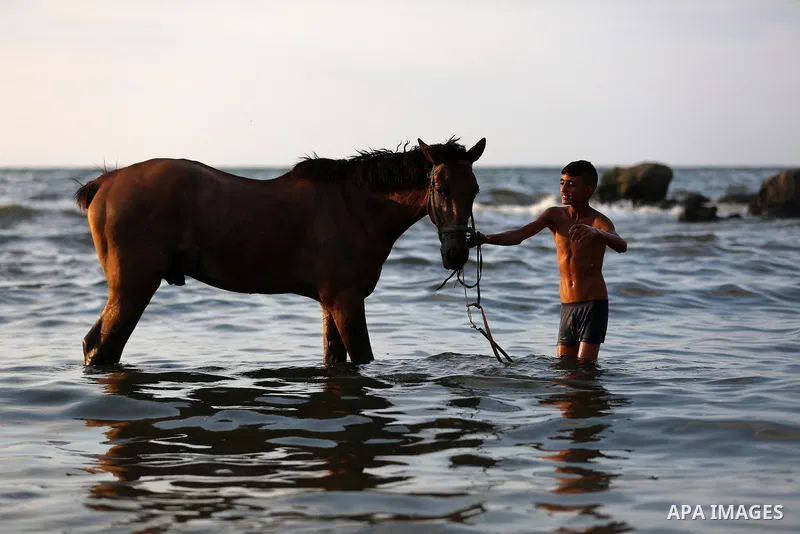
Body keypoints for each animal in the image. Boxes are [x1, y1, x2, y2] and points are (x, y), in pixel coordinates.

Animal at [75, 137, 487, 366]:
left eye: (475, 190)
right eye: (441, 188)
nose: (456, 254)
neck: (355, 207)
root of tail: (105, 181)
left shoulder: (331, 303)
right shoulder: (347, 301)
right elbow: (362, 356)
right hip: (133, 288)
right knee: (101, 346)